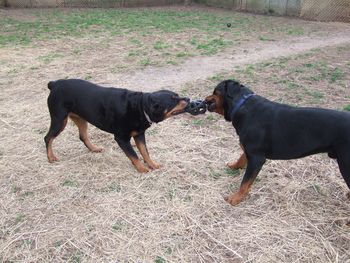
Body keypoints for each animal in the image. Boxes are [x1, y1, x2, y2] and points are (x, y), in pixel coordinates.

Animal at [45, 78, 190, 173]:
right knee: (48, 138)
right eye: (173, 99)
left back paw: (94, 149)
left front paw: (152, 164)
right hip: (59, 120)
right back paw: (51, 157)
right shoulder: (121, 138)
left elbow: (145, 152)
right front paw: (142, 169)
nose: (188, 99)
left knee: (82, 136)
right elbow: (134, 155)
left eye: (177, 95)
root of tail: (55, 84)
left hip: (80, 119)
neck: (140, 107)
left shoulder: (139, 134)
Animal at [205, 80, 350, 206]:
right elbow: (242, 158)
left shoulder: (256, 158)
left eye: (215, 91)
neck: (242, 104)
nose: (205, 99)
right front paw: (234, 166)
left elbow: (245, 182)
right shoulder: (250, 152)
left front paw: (236, 198)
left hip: (345, 164)